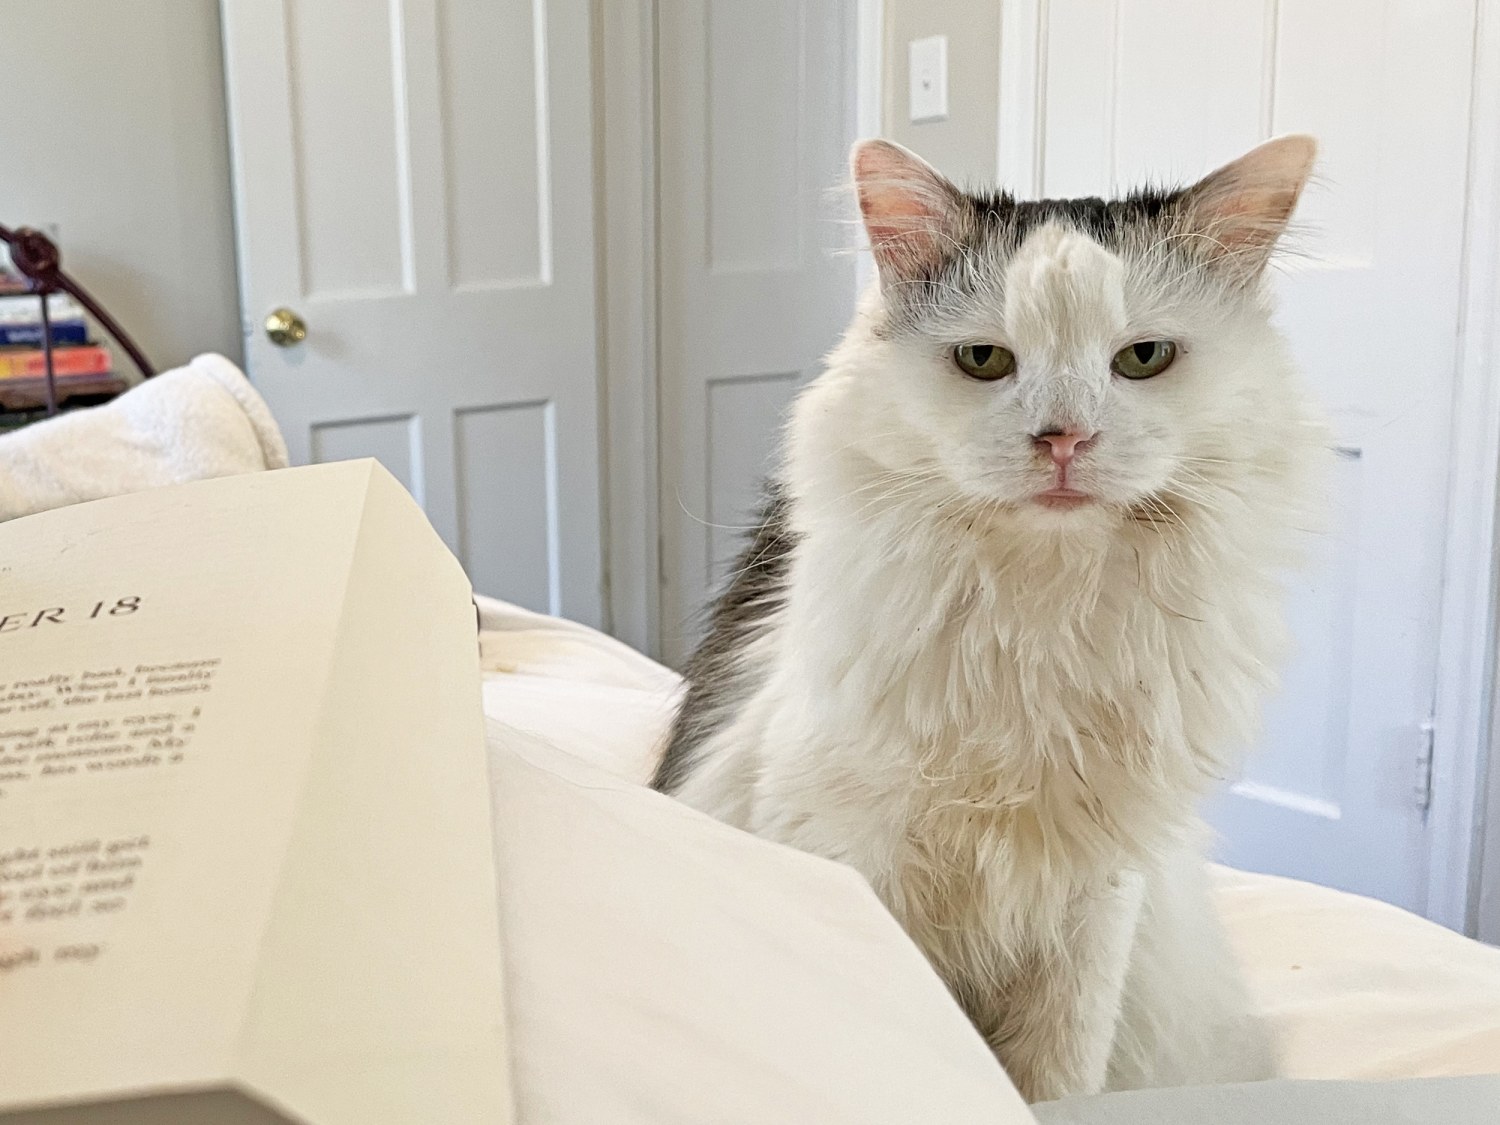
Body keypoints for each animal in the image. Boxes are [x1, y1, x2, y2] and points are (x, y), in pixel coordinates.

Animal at [654, 136, 1326, 1104]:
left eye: (1144, 358)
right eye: (983, 360)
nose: (1064, 439)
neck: (1042, 616)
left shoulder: (1099, 893)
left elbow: (1058, 1071)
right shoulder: (846, 846)